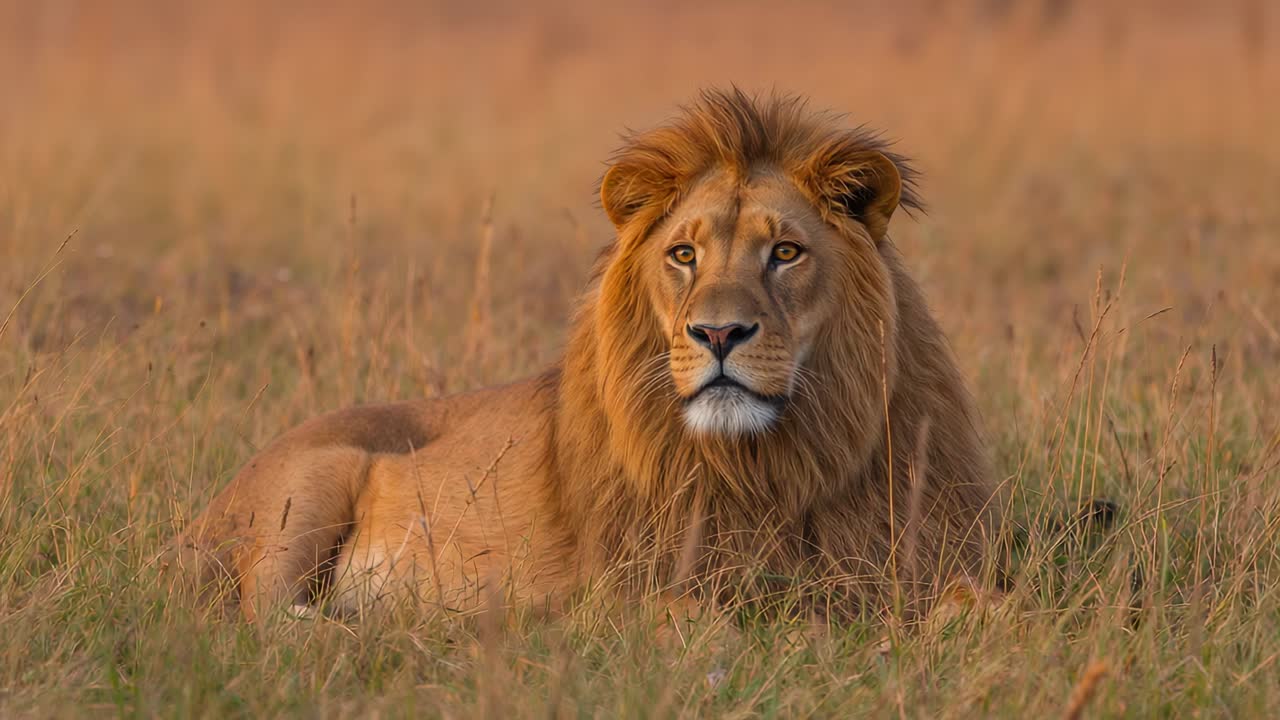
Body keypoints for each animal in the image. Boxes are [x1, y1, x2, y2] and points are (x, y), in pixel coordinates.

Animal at [169, 88, 1002, 622]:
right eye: (684, 255)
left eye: (786, 252)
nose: (718, 335)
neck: (774, 460)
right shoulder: (631, 583)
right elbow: (700, 618)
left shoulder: (922, 551)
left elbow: (986, 606)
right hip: (307, 486)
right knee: (265, 620)